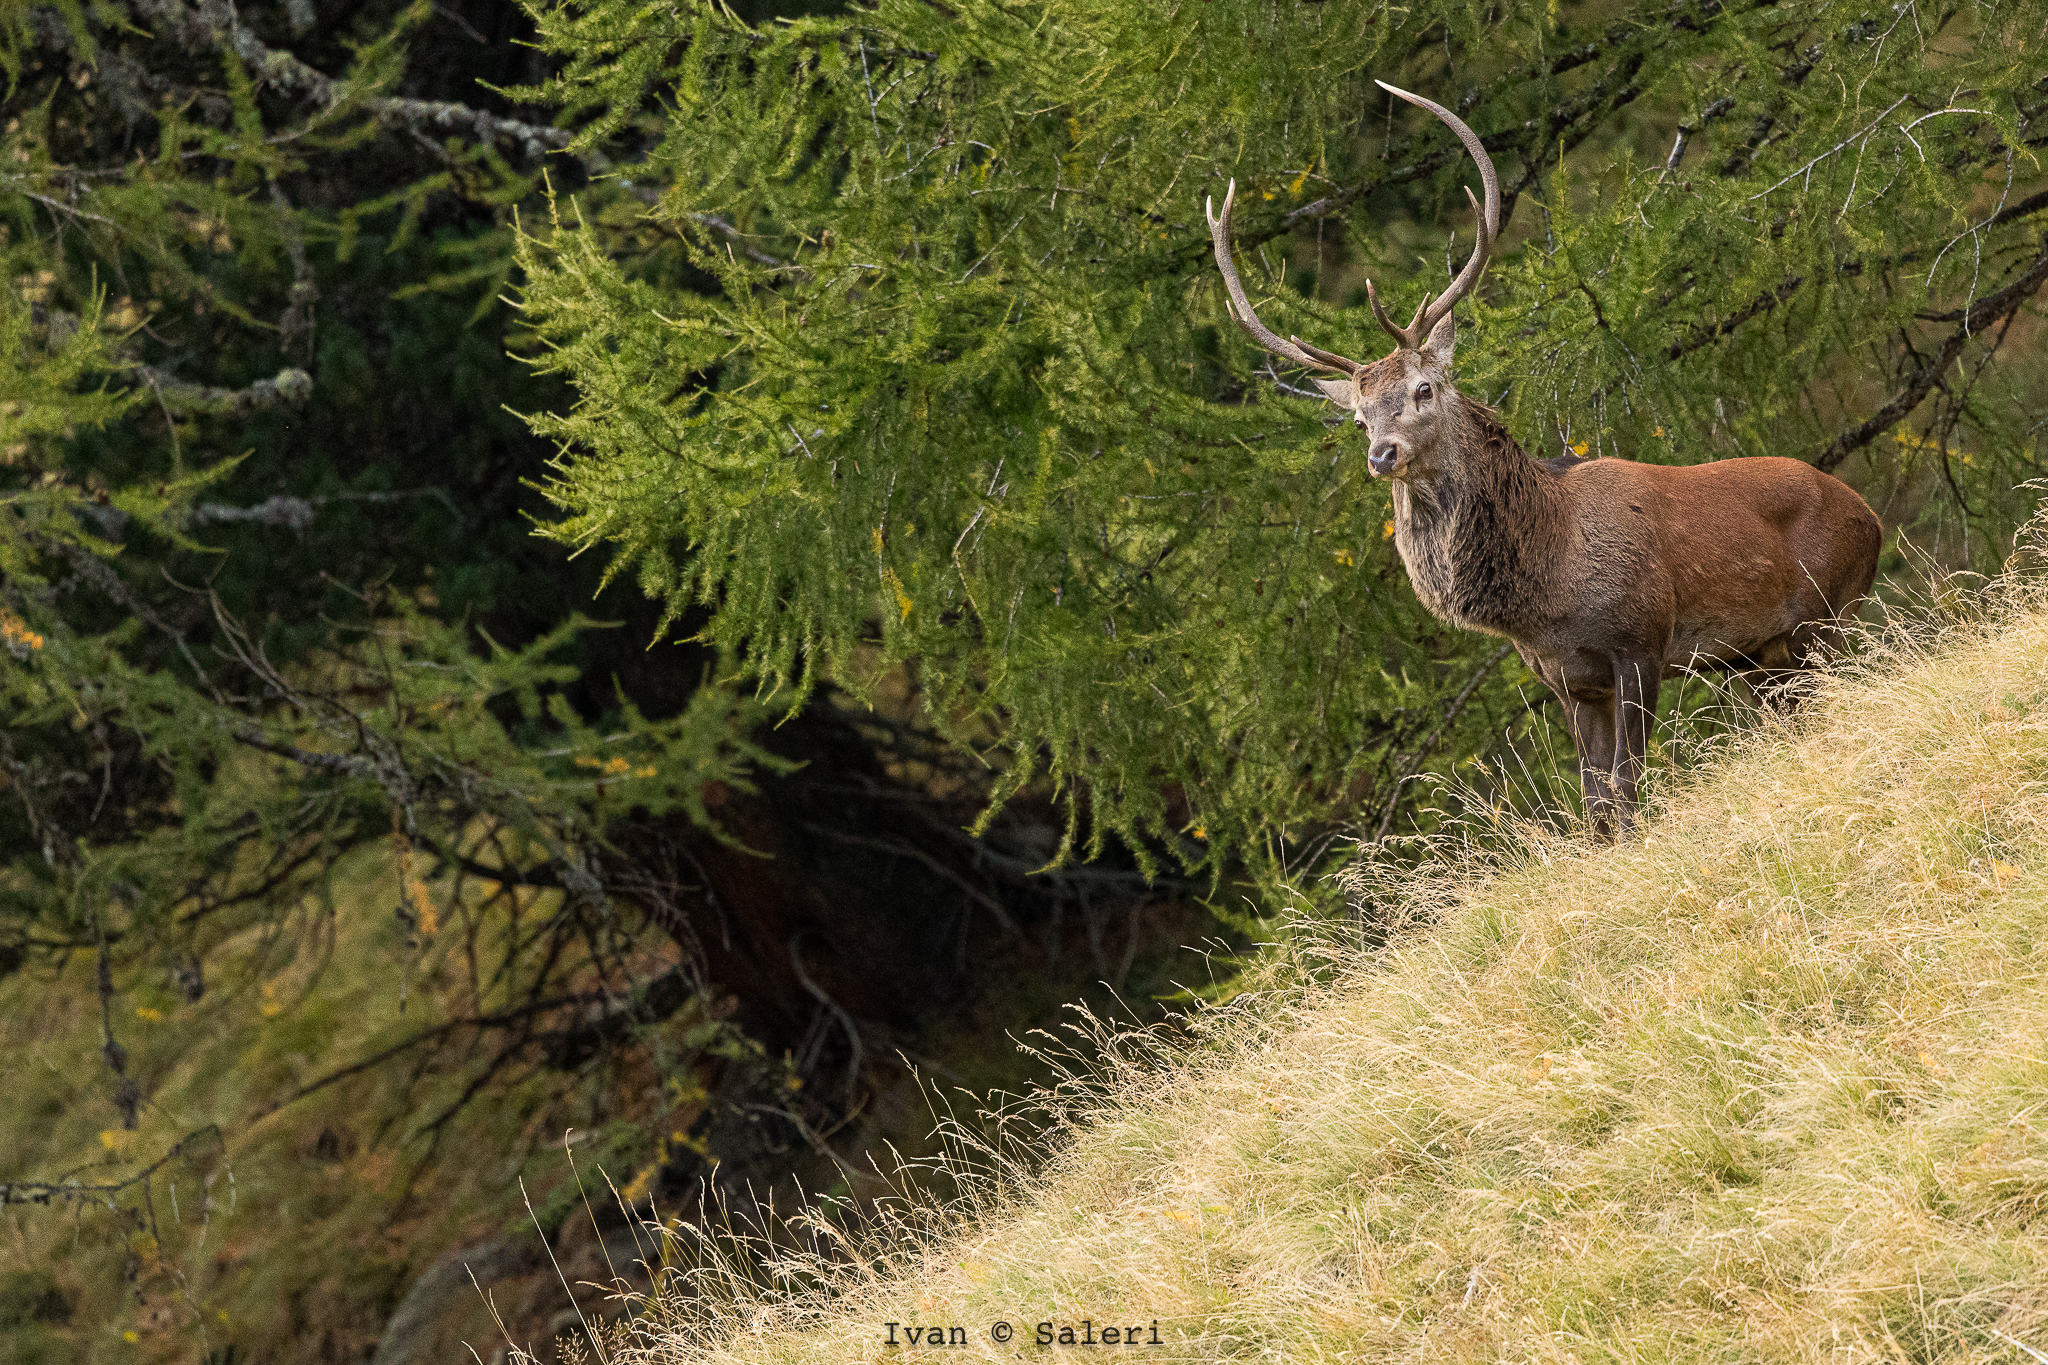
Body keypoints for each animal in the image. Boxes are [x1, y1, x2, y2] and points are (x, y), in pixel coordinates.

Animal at [1206, 82, 1883, 839]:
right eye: (1358, 417)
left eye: (1423, 388)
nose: (1382, 454)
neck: (1548, 585)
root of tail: (1872, 517)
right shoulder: (1568, 678)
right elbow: (1595, 803)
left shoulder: (1642, 640)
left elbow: (1627, 786)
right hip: (1759, 657)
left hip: (1828, 611)